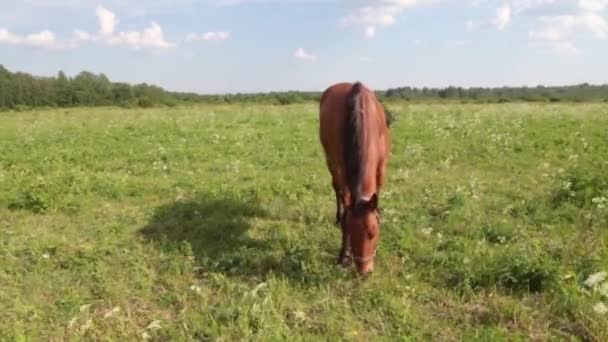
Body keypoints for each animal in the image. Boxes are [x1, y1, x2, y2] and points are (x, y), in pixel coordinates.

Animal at [318, 81, 390, 274]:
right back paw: (337, 216)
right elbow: (345, 209)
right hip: (330, 160)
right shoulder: (341, 168)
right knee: (336, 189)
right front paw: (344, 255)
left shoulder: (381, 167)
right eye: (351, 229)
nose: (365, 272)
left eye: (374, 232)